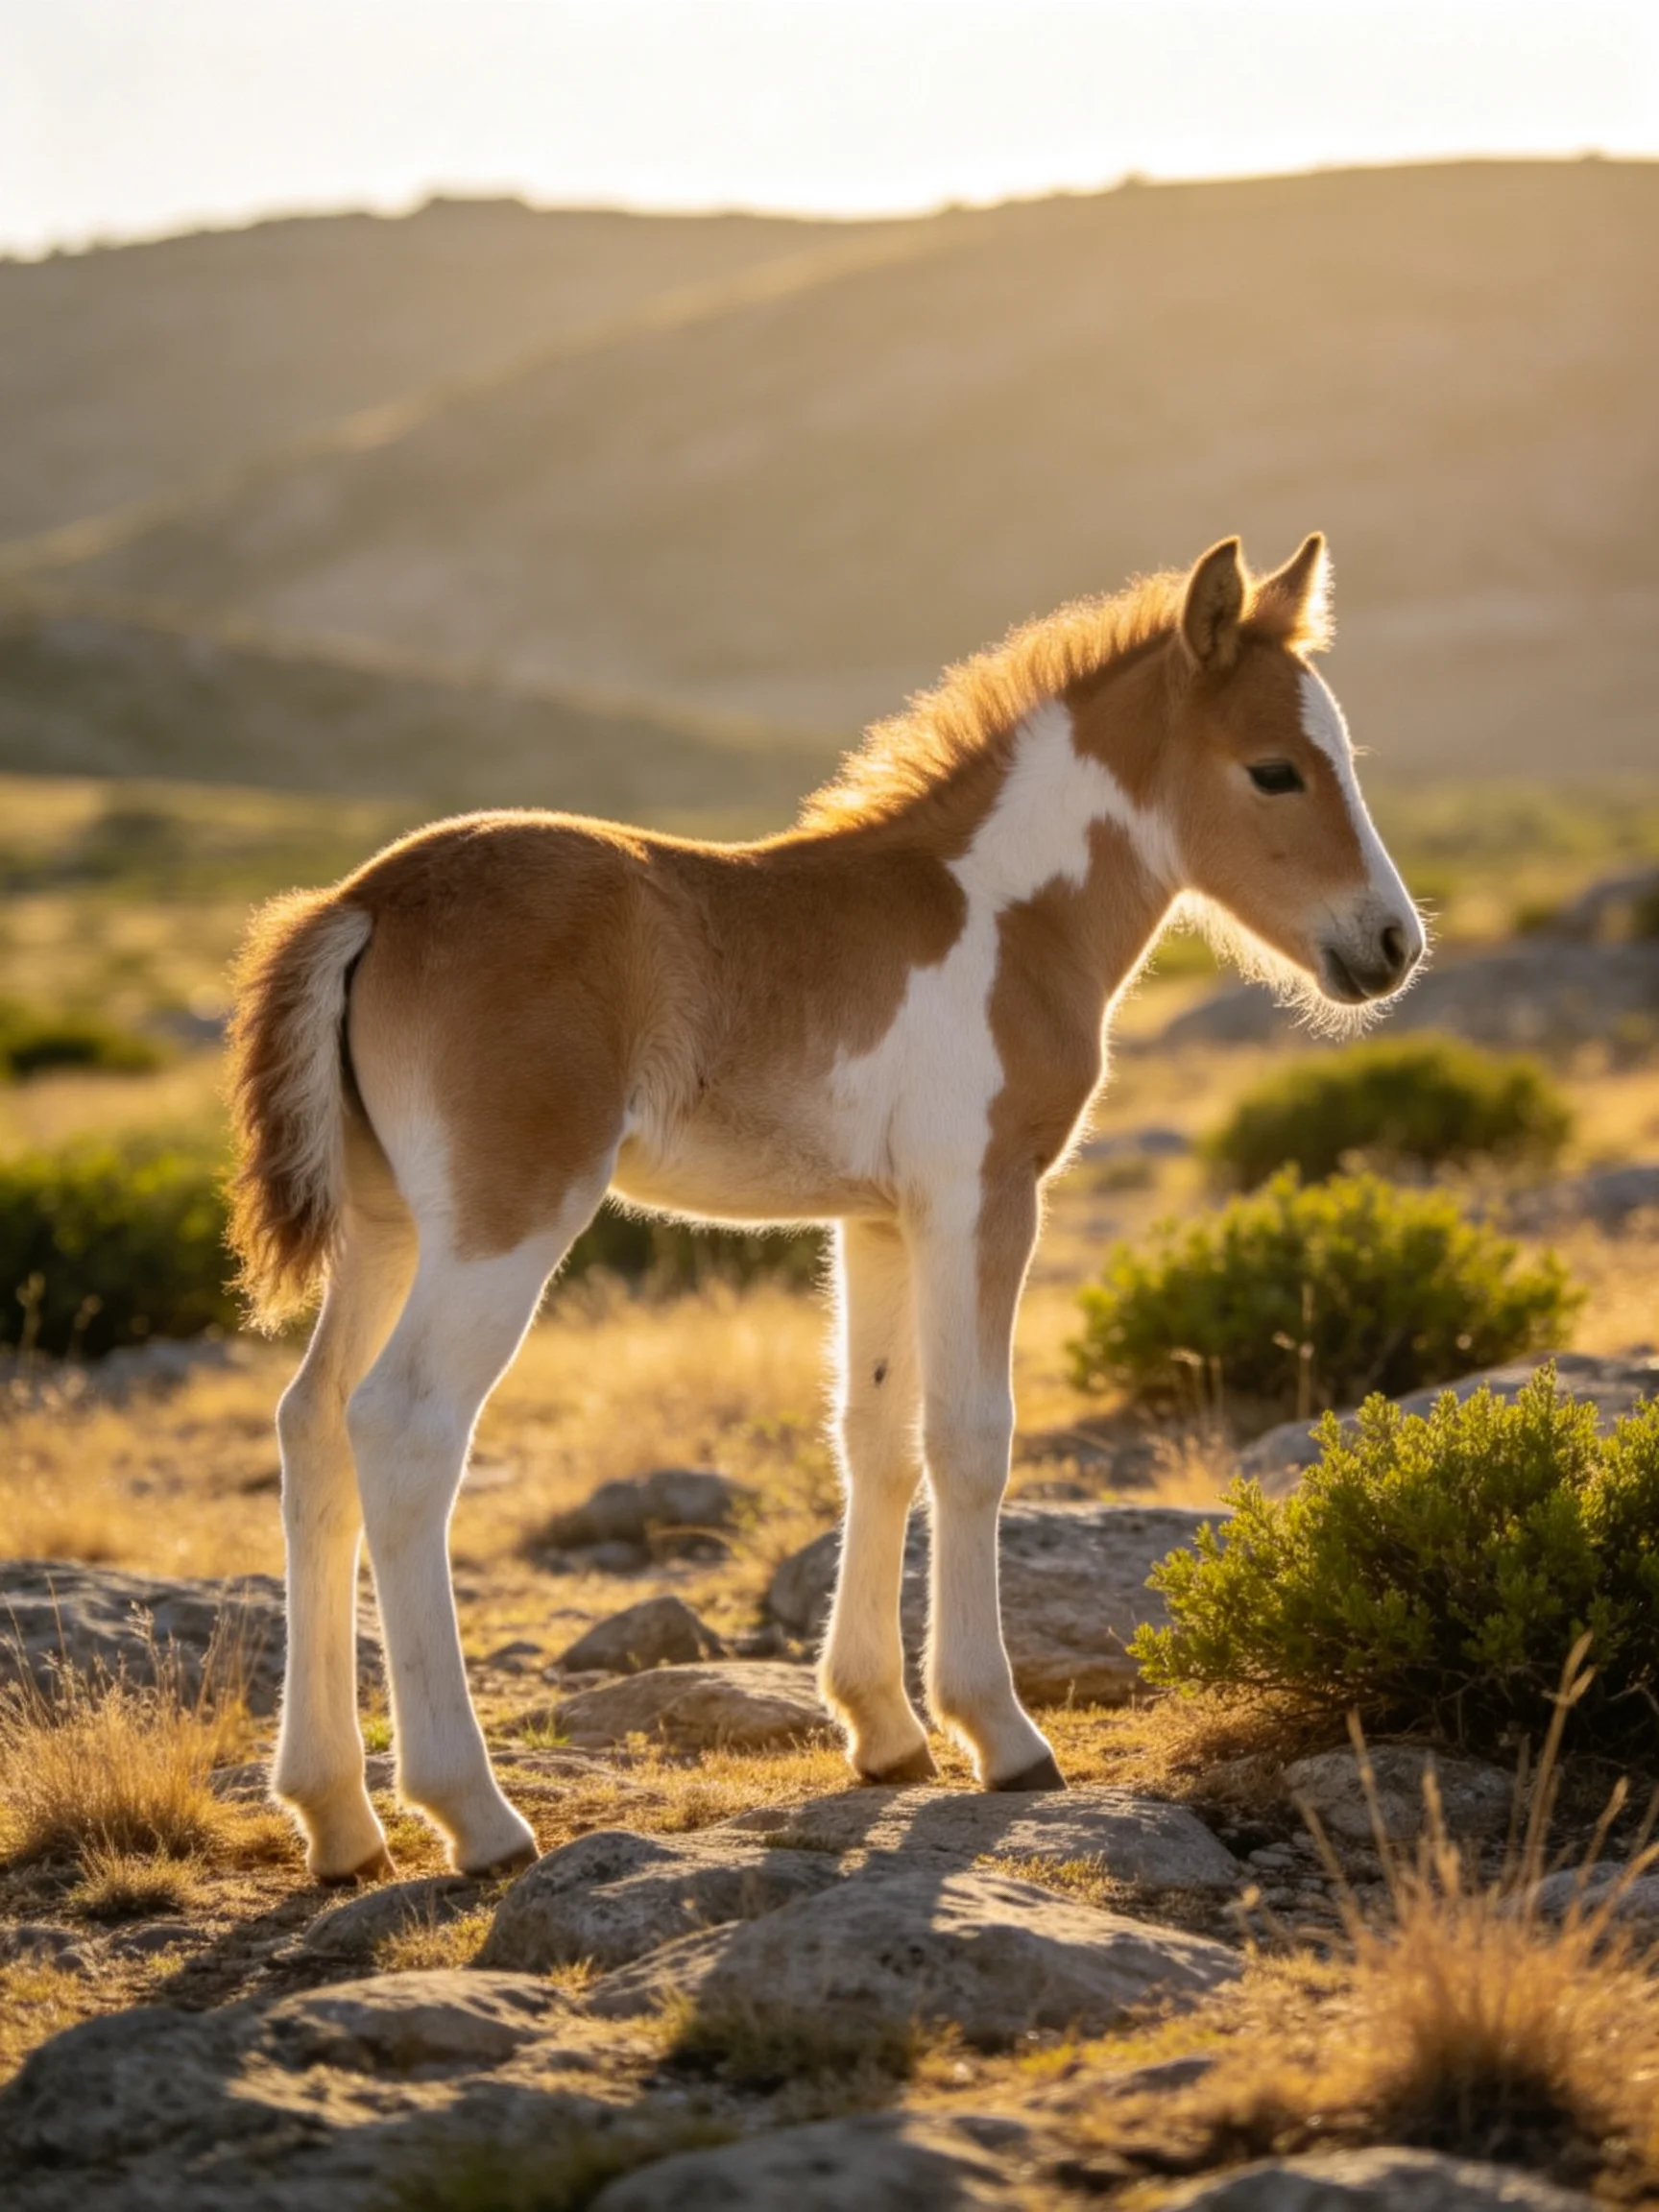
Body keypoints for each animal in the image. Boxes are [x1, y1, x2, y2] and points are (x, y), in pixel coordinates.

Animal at [227, 533, 1423, 1881]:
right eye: (1274, 768)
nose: (1391, 945)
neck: (1004, 915)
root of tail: (365, 901)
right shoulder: (982, 1193)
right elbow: (971, 1441)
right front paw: (1000, 1733)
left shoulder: (877, 1220)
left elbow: (875, 1439)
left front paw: (884, 1731)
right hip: (504, 1220)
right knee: (403, 1429)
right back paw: (474, 1815)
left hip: (383, 1228)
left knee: (312, 1428)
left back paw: (336, 1819)